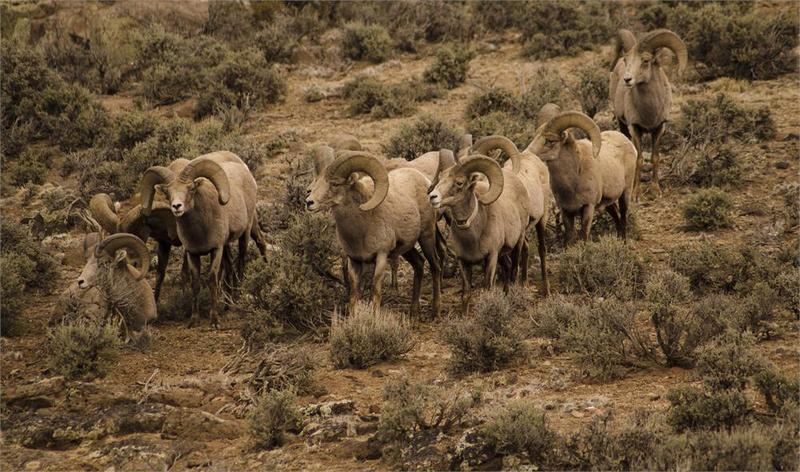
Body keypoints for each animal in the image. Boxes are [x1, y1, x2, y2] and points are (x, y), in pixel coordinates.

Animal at [141, 152, 266, 328]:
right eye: (167, 193)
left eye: (191, 188)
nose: (177, 207)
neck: (200, 231)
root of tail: (244, 170)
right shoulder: (192, 253)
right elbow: (195, 283)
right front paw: (193, 320)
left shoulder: (216, 249)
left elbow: (212, 279)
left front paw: (214, 321)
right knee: (230, 267)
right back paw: (227, 304)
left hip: (246, 232)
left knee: (242, 261)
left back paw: (237, 298)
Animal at [306, 149, 444, 316]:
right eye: (317, 181)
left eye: (335, 184)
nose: (309, 202)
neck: (360, 231)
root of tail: (425, 181)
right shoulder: (354, 261)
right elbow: (354, 295)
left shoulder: (381, 257)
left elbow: (375, 292)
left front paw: (375, 317)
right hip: (407, 248)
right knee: (419, 264)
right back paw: (413, 312)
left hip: (426, 237)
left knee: (435, 266)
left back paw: (435, 311)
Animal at [528, 104, 636, 242]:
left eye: (550, 141)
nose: (527, 153)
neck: (572, 183)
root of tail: (628, 142)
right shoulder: (566, 211)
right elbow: (569, 237)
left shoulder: (588, 207)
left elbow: (584, 235)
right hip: (608, 203)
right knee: (617, 217)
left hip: (625, 192)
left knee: (623, 216)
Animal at [612, 28, 688, 195]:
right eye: (626, 60)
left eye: (646, 60)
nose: (627, 80)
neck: (649, 112)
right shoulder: (635, 129)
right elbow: (639, 159)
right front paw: (636, 193)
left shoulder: (659, 128)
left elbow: (655, 157)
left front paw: (655, 189)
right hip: (622, 124)